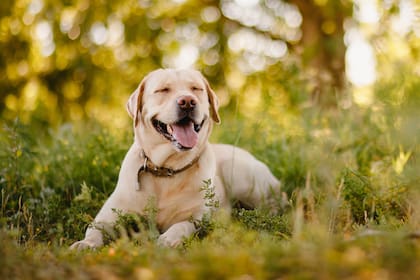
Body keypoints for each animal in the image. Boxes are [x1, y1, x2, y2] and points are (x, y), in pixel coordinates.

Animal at [70, 69, 280, 248]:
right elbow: (94, 229)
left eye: (196, 89)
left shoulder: (197, 217)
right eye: (163, 90)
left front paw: (168, 239)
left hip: (239, 174)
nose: (187, 101)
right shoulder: (108, 215)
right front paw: (85, 244)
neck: (165, 169)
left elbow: (181, 225)